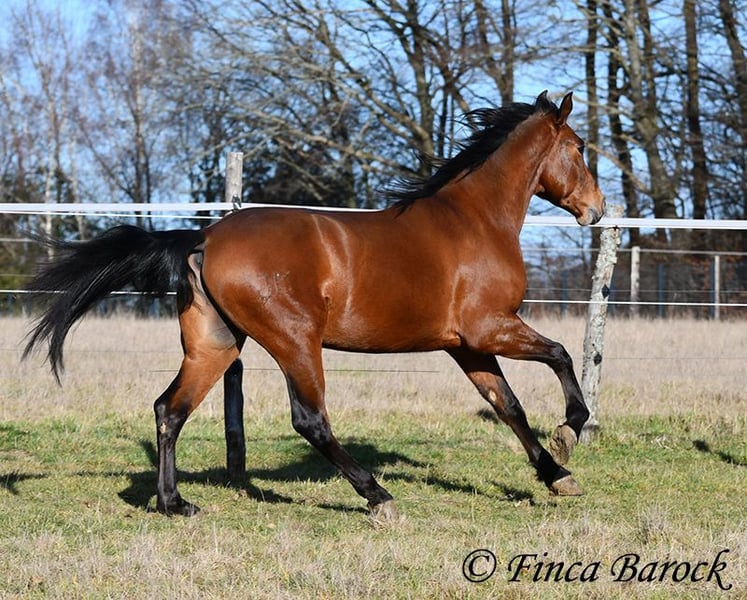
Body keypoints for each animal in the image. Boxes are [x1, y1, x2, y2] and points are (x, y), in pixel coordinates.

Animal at [24, 91, 604, 520]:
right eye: (578, 146)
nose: (596, 210)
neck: (475, 220)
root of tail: (206, 237)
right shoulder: (491, 328)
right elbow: (560, 355)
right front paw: (569, 433)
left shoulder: (466, 345)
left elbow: (509, 406)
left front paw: (557, 476)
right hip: (295, 341)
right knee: (310, 420)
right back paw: (378, 497)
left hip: (215, 344)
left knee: (170, 409)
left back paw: (174, 504)